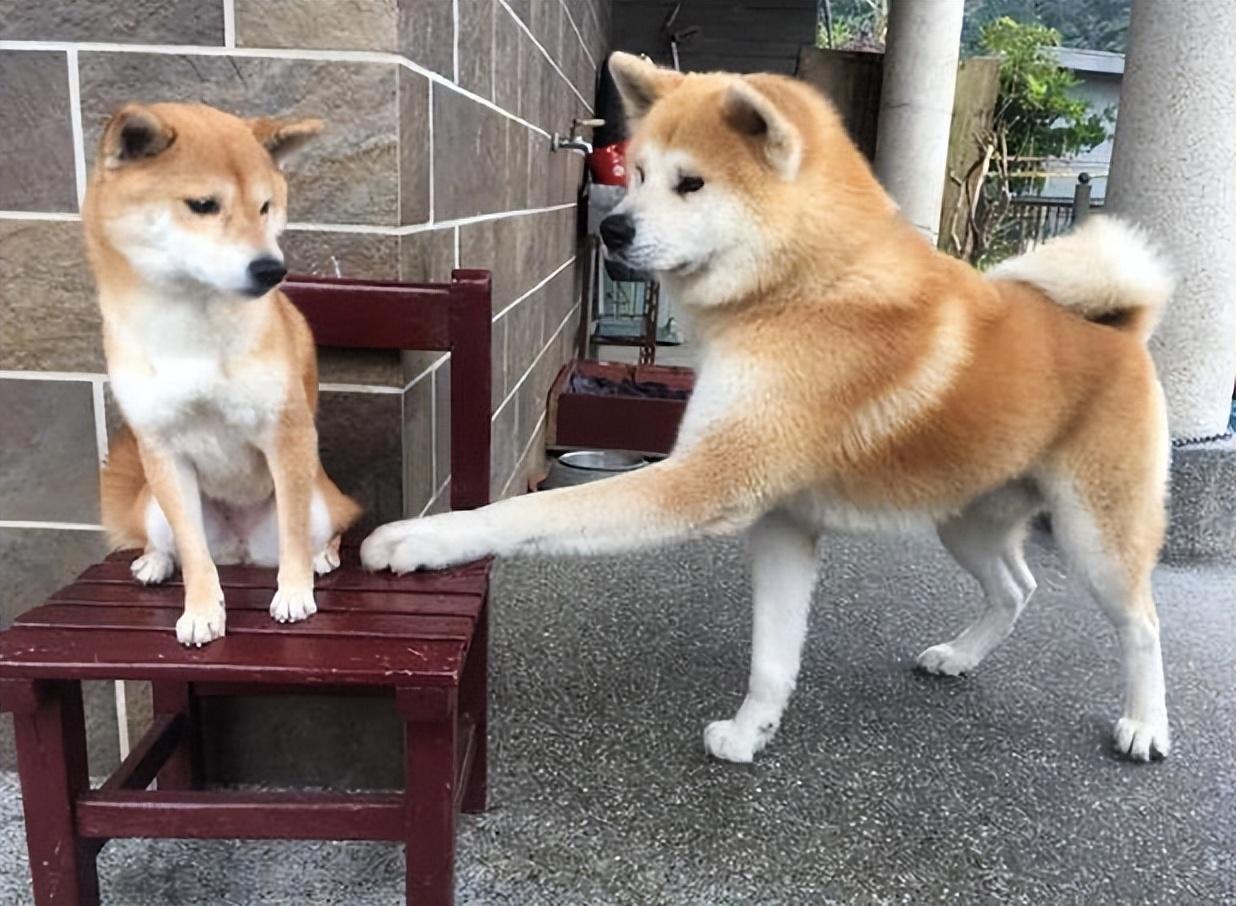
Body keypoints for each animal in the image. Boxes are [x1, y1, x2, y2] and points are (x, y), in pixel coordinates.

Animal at [85, 104, 358, 642]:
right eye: (203, 205)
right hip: (154, 506)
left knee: (319, 529)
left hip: (321, 501)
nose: (271, 269)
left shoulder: (285, 431)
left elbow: (293, 532)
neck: (189, 328)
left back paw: (320, 558)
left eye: (266, 206)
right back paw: (153, 562)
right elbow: (193, 554)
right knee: (171, 543)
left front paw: (294, 593)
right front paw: (201, 611)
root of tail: (241, 551)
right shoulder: (162, 446)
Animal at [360, 54, 1171, 761]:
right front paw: (753, 733)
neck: (800, 289)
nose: (613, 227)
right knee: (1016, 588)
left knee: (1142, 622)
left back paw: (1145, 725)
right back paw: (960, 655)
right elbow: (773, 657)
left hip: (1095, 536)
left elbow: (529, 512)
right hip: (965, 517)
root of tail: (1122, 331)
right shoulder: (782, 521)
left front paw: (421, 539)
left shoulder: (704, 484)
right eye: (639, 174)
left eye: (690, 184)